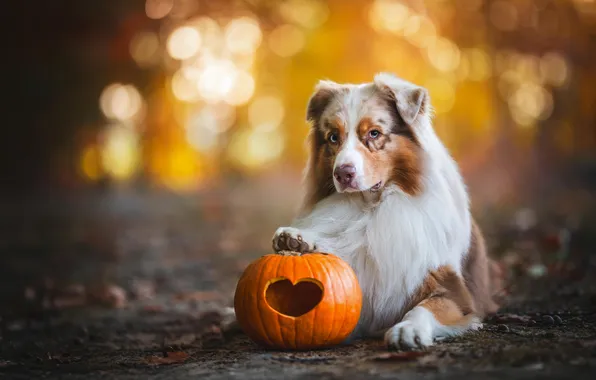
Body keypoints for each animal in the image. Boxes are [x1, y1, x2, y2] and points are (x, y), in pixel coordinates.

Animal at [272, 73, 500, 350]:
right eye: (333, 137)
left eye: (374, 133)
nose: (342, 174)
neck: (371, 209)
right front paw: (298, 238)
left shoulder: (454, 290)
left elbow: (423, 308)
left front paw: (407, 330)